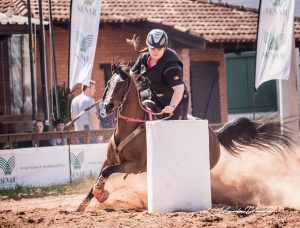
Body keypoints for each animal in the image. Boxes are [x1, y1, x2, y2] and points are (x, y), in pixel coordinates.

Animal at [75, 61, 292, 212]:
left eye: (122, 84)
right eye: (109, 83)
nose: (107, 106)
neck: (130, 128)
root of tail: (215, 133)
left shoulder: (134, 166)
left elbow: (107, 172)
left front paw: (101, 195)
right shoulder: (109, 160)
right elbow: (100, 176)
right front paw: (82, 205)